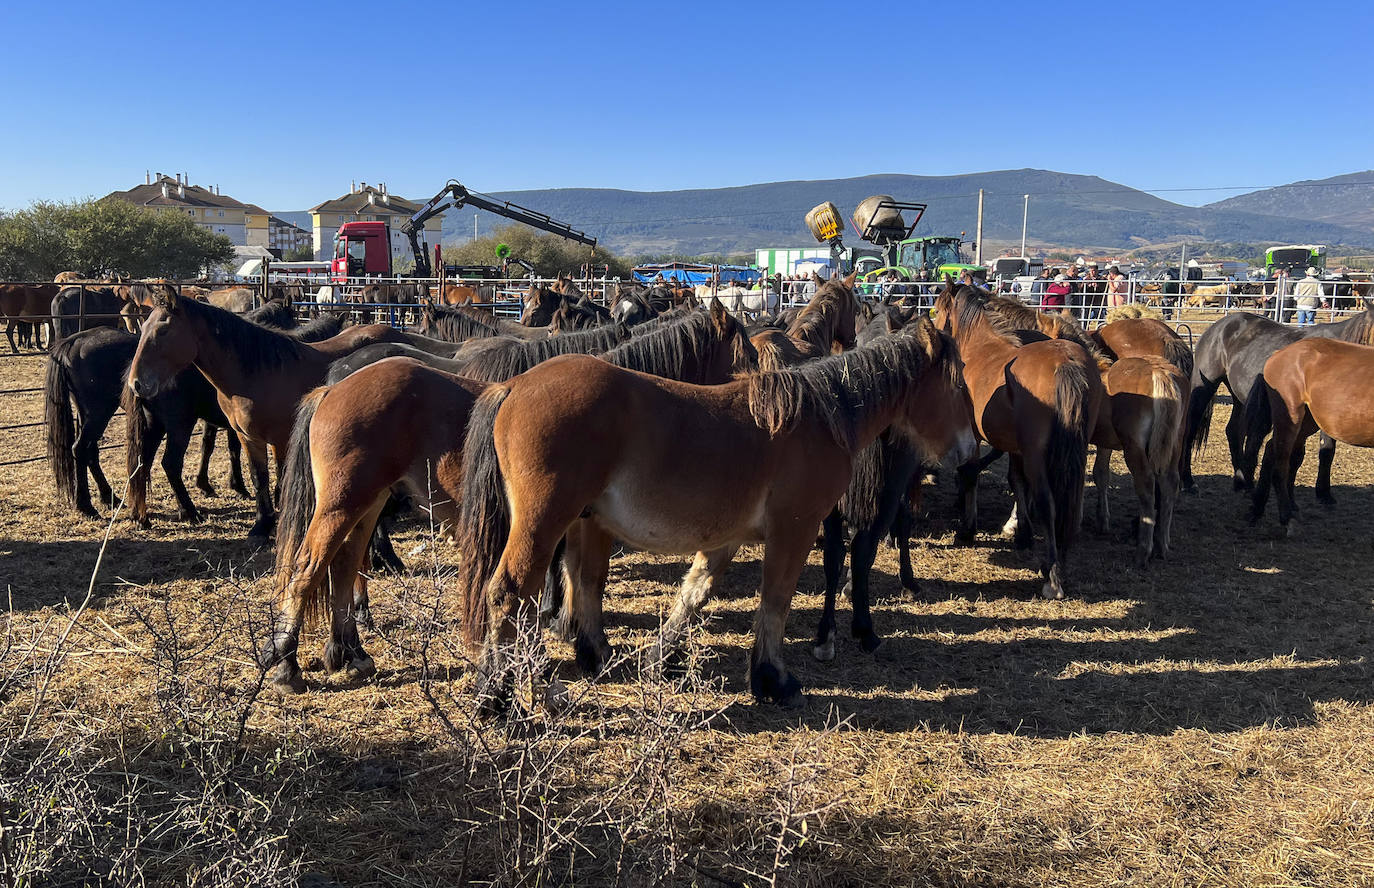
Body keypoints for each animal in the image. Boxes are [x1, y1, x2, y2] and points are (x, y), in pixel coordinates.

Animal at [125, 295, 456, 538]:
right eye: (144, 329)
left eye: (163, 330)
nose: (137, 382)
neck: (257, 373)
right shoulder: (249, 438)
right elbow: (259, 477)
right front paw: (262, 525)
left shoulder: (281, 437)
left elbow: (281, 476)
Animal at [450, 316, 967, 714]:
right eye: (957, 379)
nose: (967, 449)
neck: (819, 418)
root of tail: (513, 386)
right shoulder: (794, 530)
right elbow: (775, 603)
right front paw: (774, 680)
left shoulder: (726, 538)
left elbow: (695, 592)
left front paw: (660, 659)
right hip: (544, 523)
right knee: (508, 593)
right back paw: (495, 696)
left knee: (576, 582)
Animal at [928, 285, 1099, 604]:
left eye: (938, 308)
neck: (982, 347)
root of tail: (1066, 362)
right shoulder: (1016, 448)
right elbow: (1017, 482)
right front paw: (1022, 534)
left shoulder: (975, 436)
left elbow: (970, 475)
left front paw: (967, 530)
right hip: (1072, 451)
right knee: (1068, 500)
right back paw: (1059, 561)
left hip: (1037, 454)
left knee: (1047, 502)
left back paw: (1052, 576)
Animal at [1181, 309, 1374, 497]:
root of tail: (1219, 326)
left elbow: (1327, 451)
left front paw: (1324, 493)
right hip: (1205, 387)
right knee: (1190, 430)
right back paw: (1189, 482)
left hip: (1241, 399)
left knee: (1234, 431)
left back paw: (1242, 481)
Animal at [1253, 339, 1374, 536]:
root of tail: (1278, 354)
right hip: (1290, 417)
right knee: (1280, 466)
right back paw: (1286, 518)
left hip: (1306, 422)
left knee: (1271, 450)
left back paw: (1257, 508)